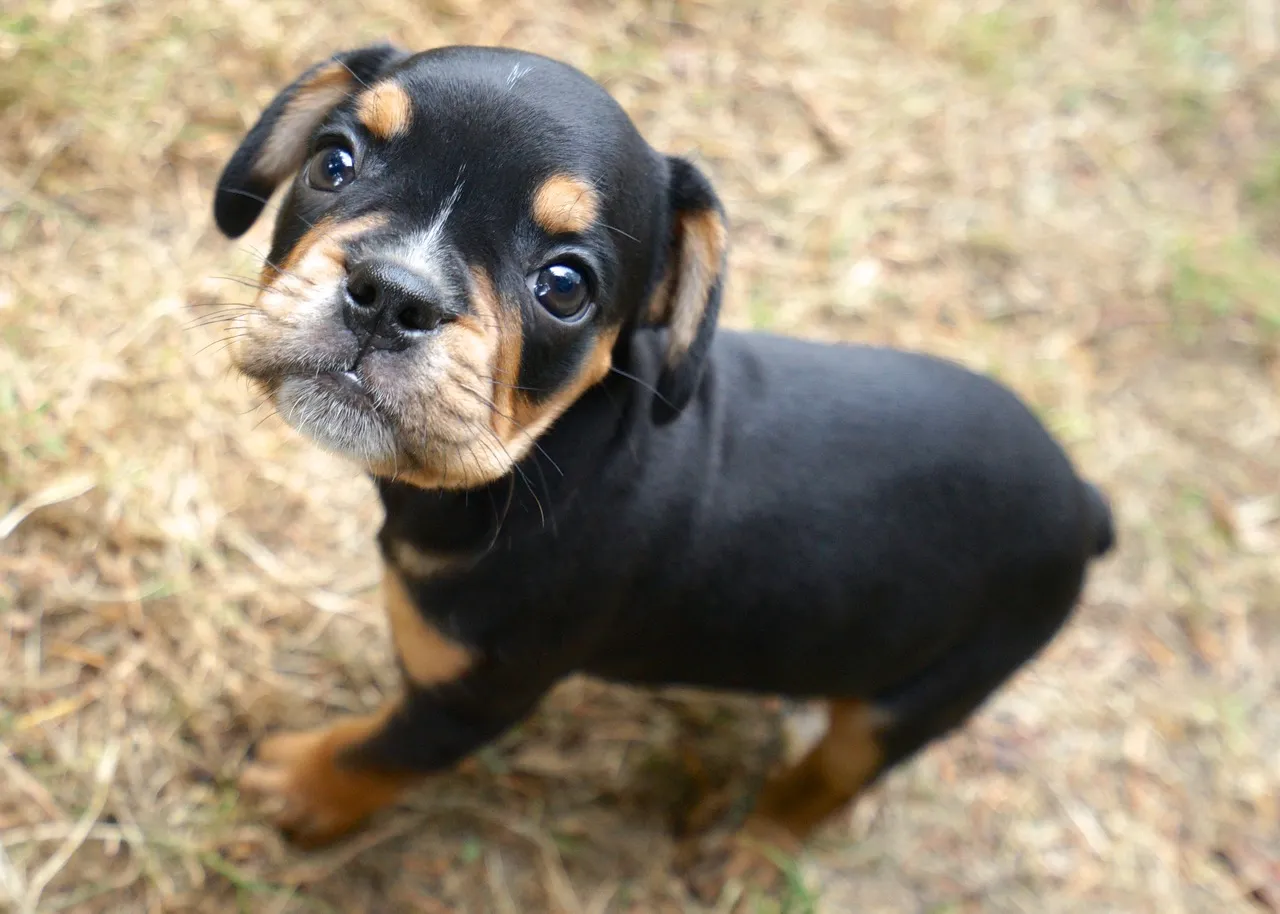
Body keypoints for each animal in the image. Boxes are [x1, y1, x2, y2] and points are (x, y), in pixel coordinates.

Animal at [212, 43, 1115, 897]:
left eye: (564, 286)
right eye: (334, 162)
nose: (394, 292)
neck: (544, 459)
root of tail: (1083, 501)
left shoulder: (475, 696)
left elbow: (377, 753)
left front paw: (297, 784)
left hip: (921, 697)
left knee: (830, 781)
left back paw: (753, 853)